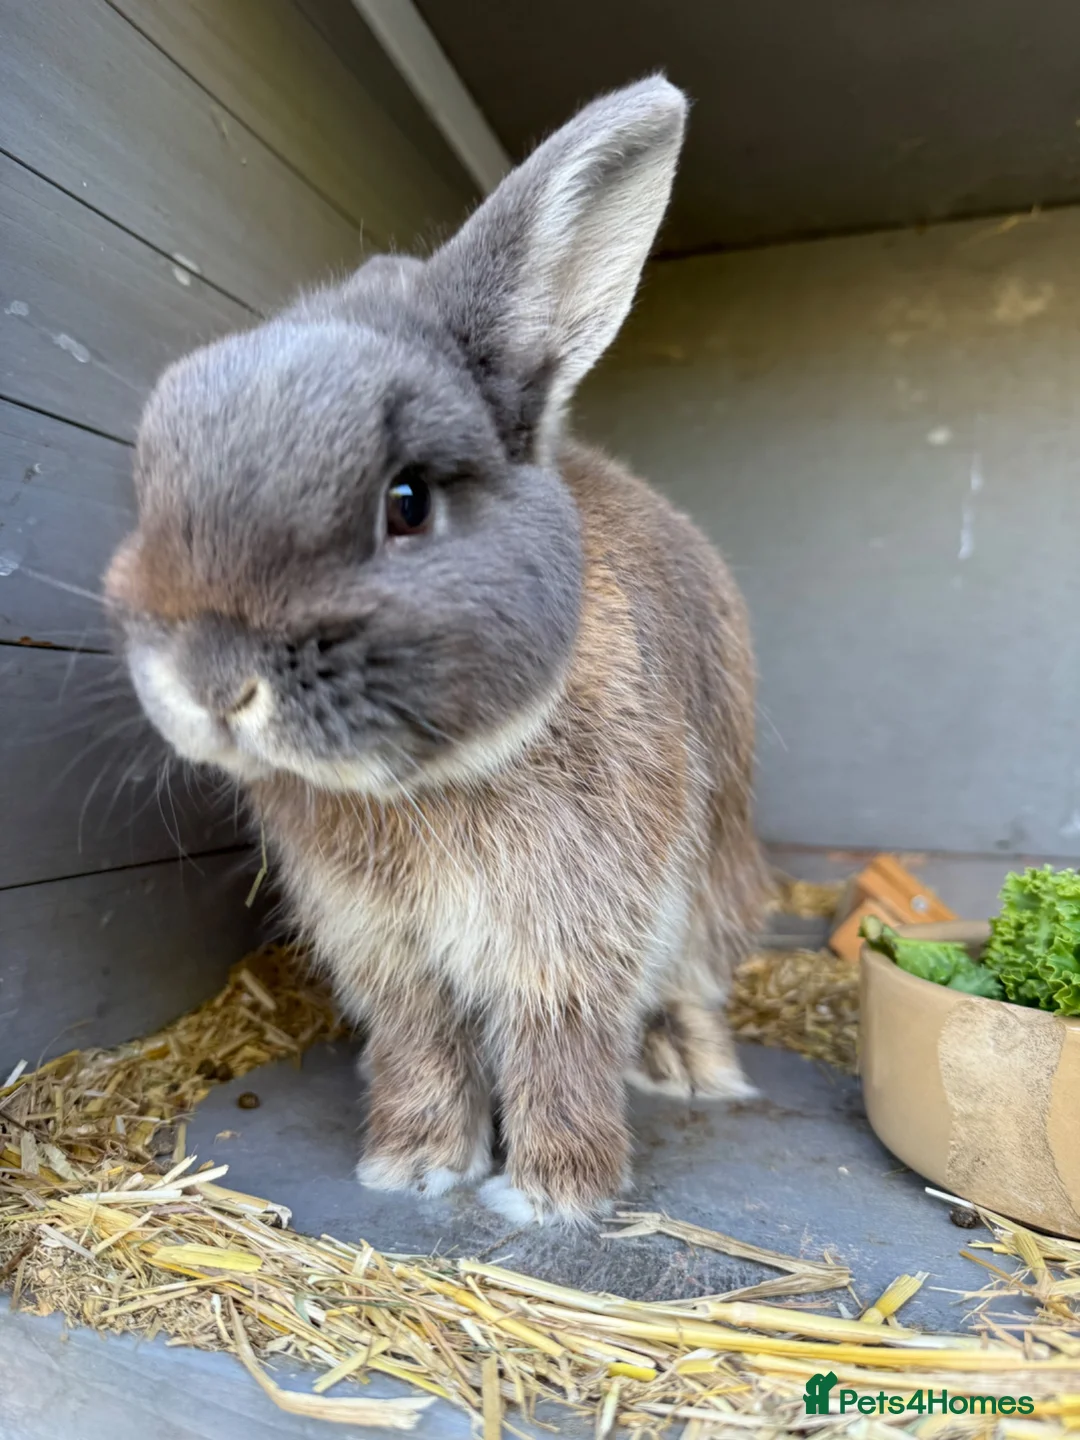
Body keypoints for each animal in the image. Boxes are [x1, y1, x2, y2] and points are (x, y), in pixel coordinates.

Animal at [104, 76, 768, 1224]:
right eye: (152, 487)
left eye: (407, 500)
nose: (211, 683)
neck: (425, 784)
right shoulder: (386, 949)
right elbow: (421, 1041)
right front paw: (412, 1165)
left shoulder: (576, 929)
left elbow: (560, 1039)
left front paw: (554, 1192)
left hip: (713, 876)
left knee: (687, 982)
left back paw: (688, 1068)